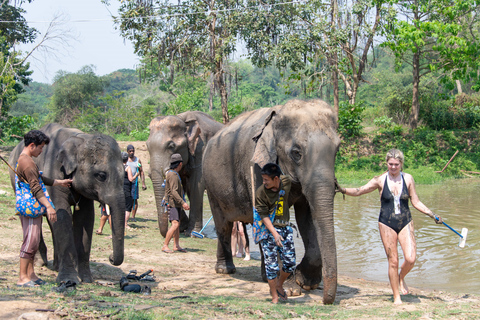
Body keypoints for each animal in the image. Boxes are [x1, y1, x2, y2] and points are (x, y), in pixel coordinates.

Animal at [8, 124, 125, 284]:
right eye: (101, 176)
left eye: (124, 175)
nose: (111, 258)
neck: (81, 137)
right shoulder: (53, 170)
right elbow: (62, 214)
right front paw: (68, 280)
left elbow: (85, 218)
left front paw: (86, 279)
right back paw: (40, 263)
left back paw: (57, 266)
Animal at [202, 99, 342, 304]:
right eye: (296, 153)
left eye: (337, 149)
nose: (326, 301)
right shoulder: (255, 168)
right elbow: (268, 216)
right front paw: (291, 290)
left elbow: (307, 216)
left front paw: (305, 282)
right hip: (211, 187)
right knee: (223, 226)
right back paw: (225, 270)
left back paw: (261, 275)